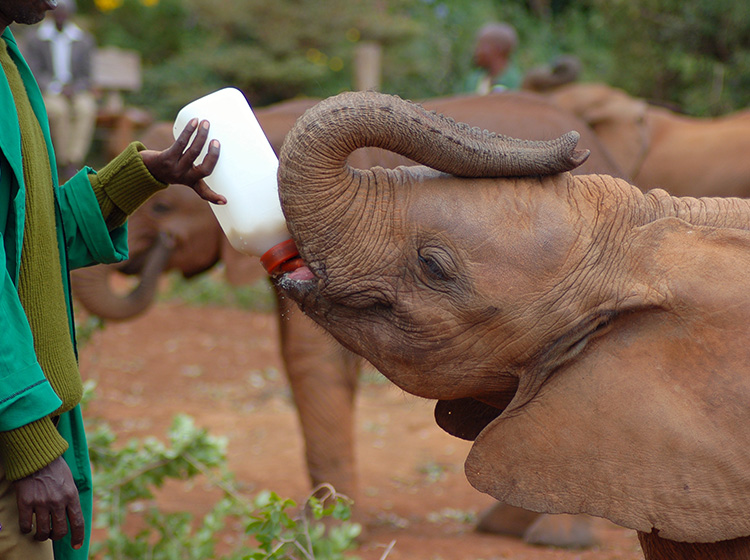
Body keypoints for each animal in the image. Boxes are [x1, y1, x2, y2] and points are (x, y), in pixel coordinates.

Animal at [71, 91, 626, 548]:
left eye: (164, 210)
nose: (573, 154)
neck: (274, 118)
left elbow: (309, 357)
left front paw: (326, 532)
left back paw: (556, 541)